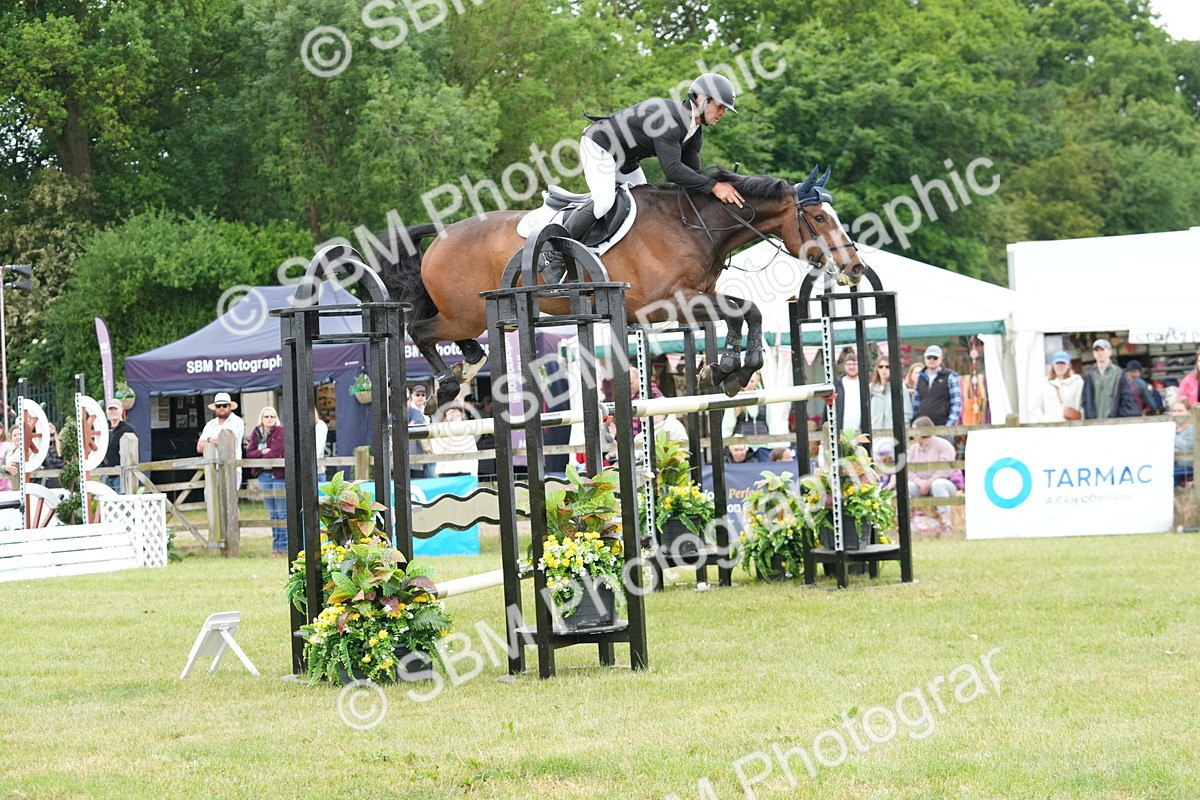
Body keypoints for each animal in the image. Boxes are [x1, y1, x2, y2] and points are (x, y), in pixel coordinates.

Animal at [377, 165, 867, 412]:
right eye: (819, 217)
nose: (855, 267)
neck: (693, 225)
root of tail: (440, 236)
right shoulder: (666, 305)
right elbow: (745, 309)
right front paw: (733, 368)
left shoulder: (695, 298)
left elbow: (744, 310)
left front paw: (729, 370)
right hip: (465, 313)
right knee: (420, 331)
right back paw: (444, 386)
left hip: (474, 315)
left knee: (450, 336)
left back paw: (465, 367)